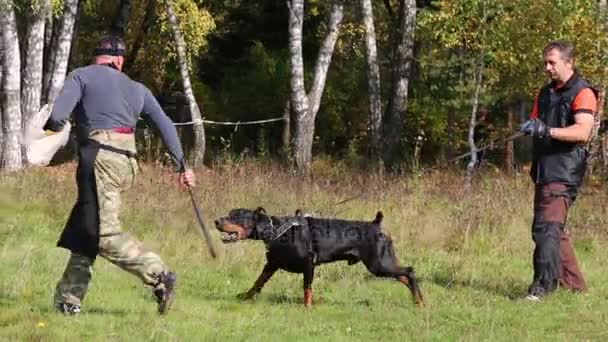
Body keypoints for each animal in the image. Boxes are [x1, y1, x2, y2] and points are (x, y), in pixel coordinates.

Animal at [215, 207, 422, 308]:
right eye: (229, 213)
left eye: (236, 216)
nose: (216, 220)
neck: (278, 231)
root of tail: (376, 225)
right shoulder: (271, 264)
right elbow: (257, 282)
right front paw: (245, 296)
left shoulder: (309, 264)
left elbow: (307, 288)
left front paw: (307, 307)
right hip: (383, 264)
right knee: (404, 276)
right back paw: (418, 301)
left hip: (379, 264)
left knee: (410, 272)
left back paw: (420, 303)